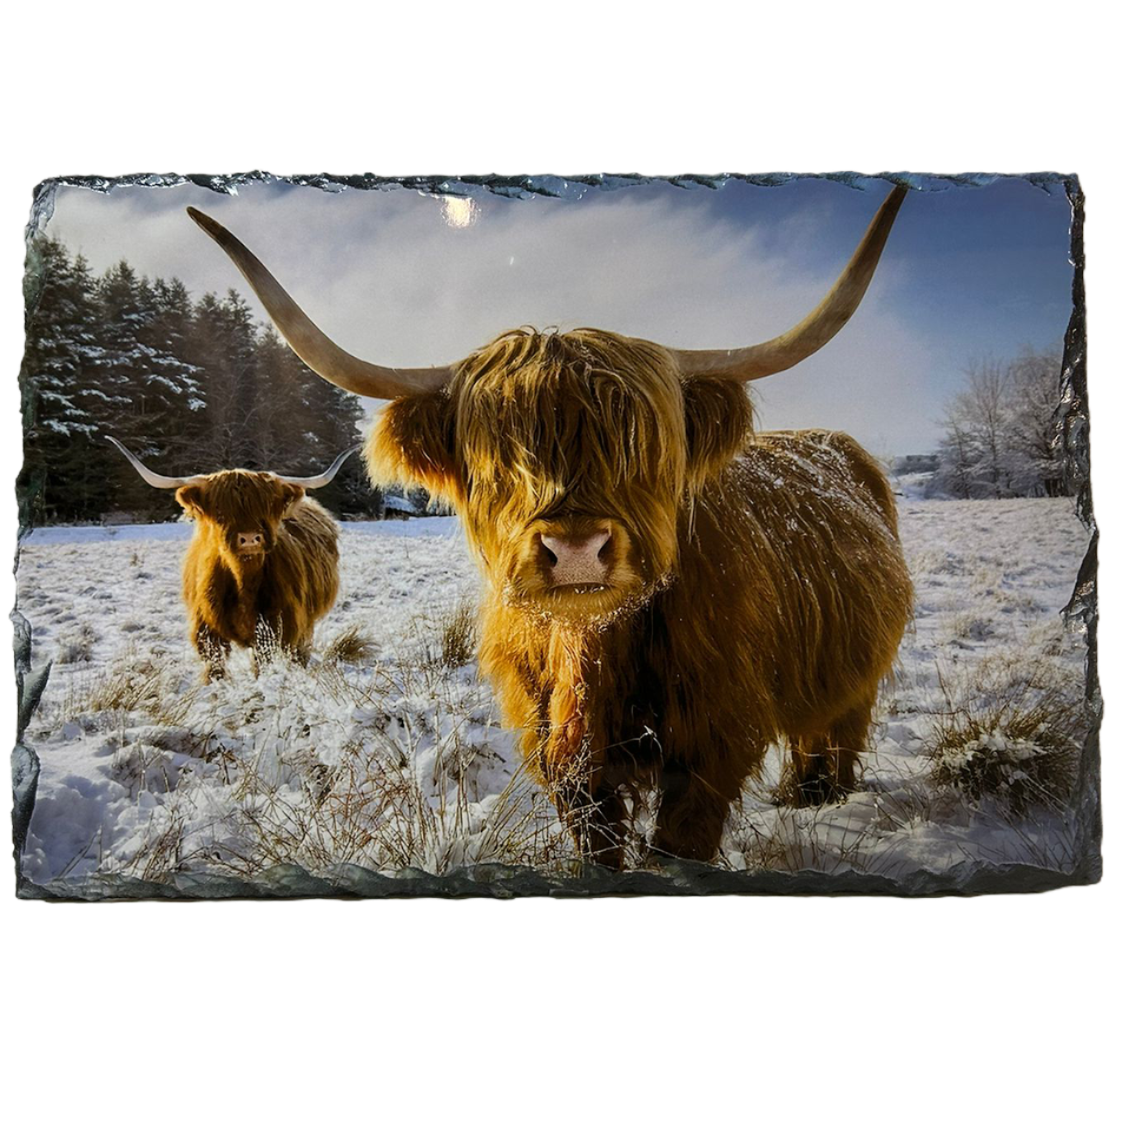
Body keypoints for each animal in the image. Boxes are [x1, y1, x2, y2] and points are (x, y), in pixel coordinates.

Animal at [108, 437, 356, 681]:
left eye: (266, 507)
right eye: (221, 510)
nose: (250, 538)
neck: (243, 582)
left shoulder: (278, 626)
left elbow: (263, 663)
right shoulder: (206, 630)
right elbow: (215, 667)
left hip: (307, 623)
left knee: (301, 651)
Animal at [187, 186, 914, 867]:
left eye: (642, 447)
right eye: (498, 458)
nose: (577, 549)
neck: (590, 654)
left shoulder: (714, 739)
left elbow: (680, 844)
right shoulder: (563, 756)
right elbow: (597, 842)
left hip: (855, 668)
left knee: (838, 721)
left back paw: (817, 794)